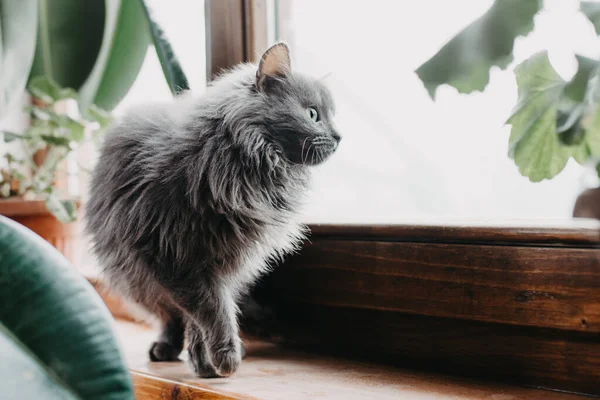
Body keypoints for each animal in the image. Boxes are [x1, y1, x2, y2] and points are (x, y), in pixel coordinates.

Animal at [84, 43, 340, 378]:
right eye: (313, 114)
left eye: (333, 117)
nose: (339, 137)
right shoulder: (170, 255)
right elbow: (209, 309)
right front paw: (223, 356)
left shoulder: (225, 265)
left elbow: (204, 315)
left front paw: (206, 362)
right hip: (131, 277)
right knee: (169, 315)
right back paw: (165, 348)